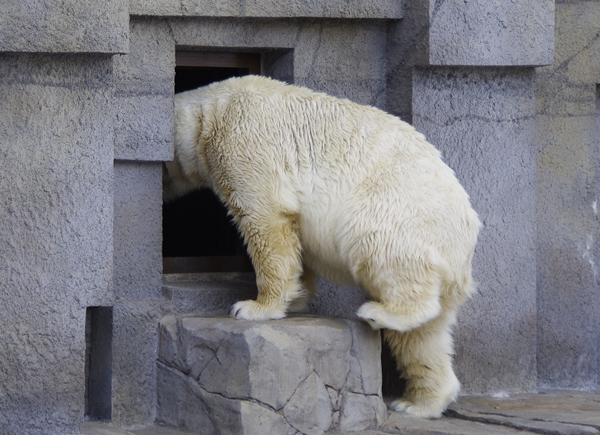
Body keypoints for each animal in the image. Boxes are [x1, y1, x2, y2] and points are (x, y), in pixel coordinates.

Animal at [162, 76, 480, 420]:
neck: (211, 113)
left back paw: (379, 313)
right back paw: (417, 403)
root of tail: (467, 232)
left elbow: (266, 221)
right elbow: (298, 243)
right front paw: (297, 297)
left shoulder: (245, 143)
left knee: (383, 258)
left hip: (396, 215)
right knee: (425, 338)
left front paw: (255, 307)